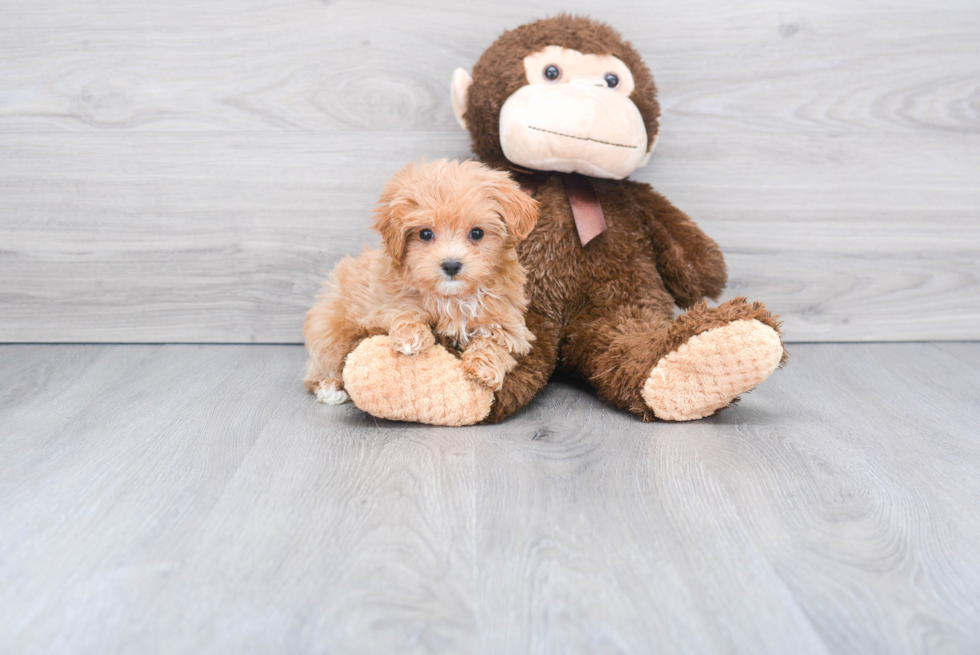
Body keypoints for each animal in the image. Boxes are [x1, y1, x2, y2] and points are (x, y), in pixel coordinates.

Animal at [302, 159, 540, 404]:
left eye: (477, 233)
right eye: (425, 234)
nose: (451, 265)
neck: (453, 298)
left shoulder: (506, 320)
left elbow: (495, 341)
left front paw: (484, 370)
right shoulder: (382, 300)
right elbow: (403, 309)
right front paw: (411, 338)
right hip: (329, 329)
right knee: (324, 363)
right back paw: (330, 388)